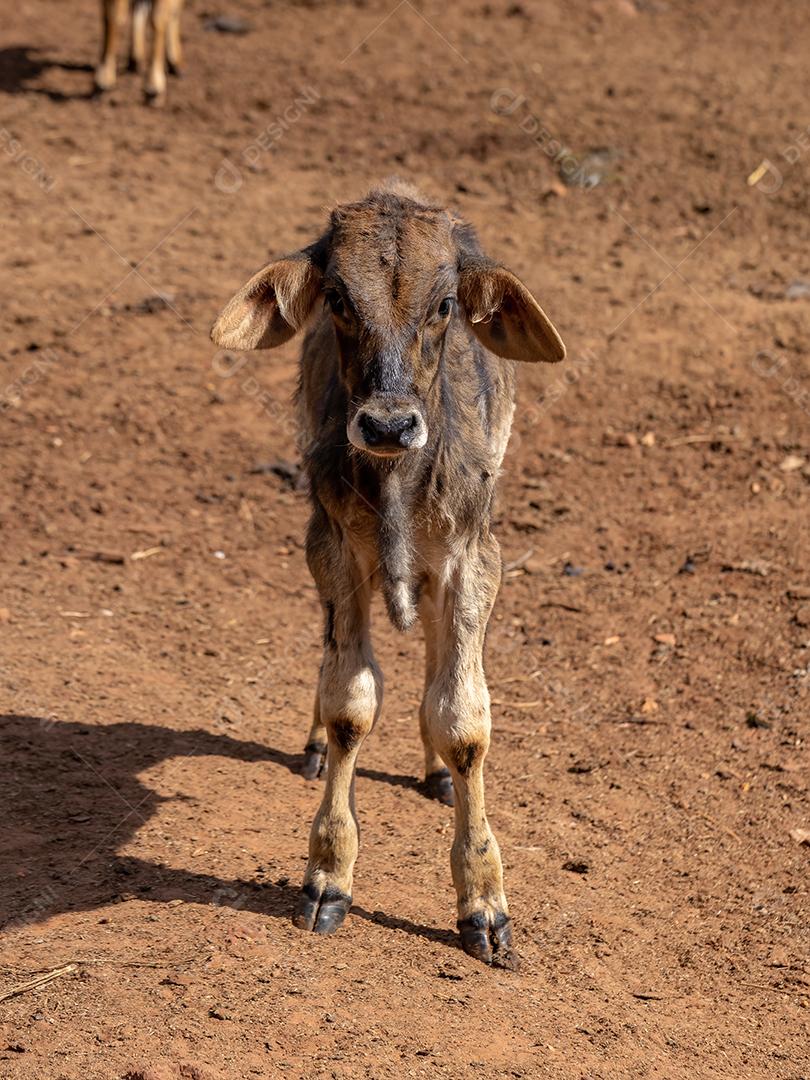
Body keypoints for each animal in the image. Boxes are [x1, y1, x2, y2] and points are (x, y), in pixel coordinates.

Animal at [210, 181, 565, 968]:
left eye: (445, 305)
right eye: (338, 299)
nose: (387, 425)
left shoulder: (476, 554)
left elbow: (463, 718)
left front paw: (484, 907)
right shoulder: (332, 545)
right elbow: (350, 701)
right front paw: (326, 876)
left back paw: (433, 772)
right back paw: (316, 745)